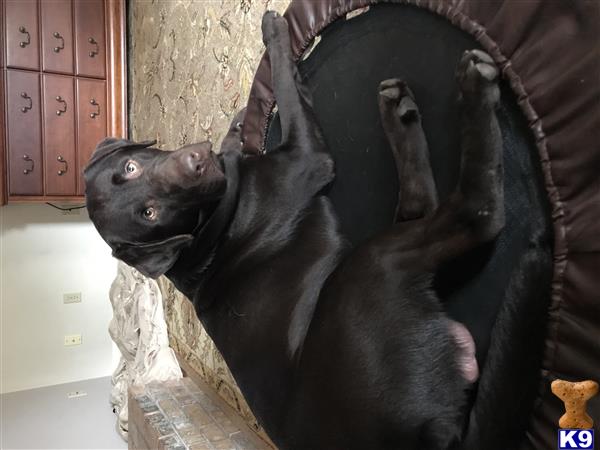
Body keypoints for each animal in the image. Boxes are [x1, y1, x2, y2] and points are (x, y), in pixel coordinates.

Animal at [85, 10, 552, 450]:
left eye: (132, 168)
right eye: (150, 214)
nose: (195, 163)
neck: (208, 226)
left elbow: (263, 118)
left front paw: (236, 129)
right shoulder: (307, 156)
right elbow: (286, 87)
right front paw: (275, 34)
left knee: (421, 204)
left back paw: (397, 111)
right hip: (372, 269)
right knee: (475, 213)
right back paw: (472, 90)